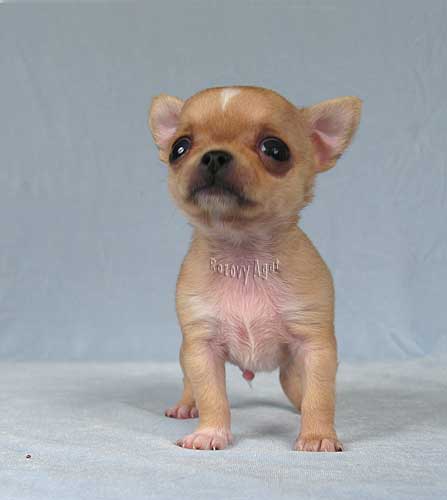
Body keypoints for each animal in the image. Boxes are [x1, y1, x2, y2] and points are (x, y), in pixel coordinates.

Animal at [149, 86, 361, 451]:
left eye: (275, 149)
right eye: (180, 147)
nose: (214, 156)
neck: (243, 257)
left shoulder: (316, 348)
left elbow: (320, 396)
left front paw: (318, 435)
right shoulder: (201, 348)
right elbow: (212, 395)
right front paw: (210, 433)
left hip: (291, 368)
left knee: (298, 389)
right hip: (185, 355)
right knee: (190, 384)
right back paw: (186, 405)